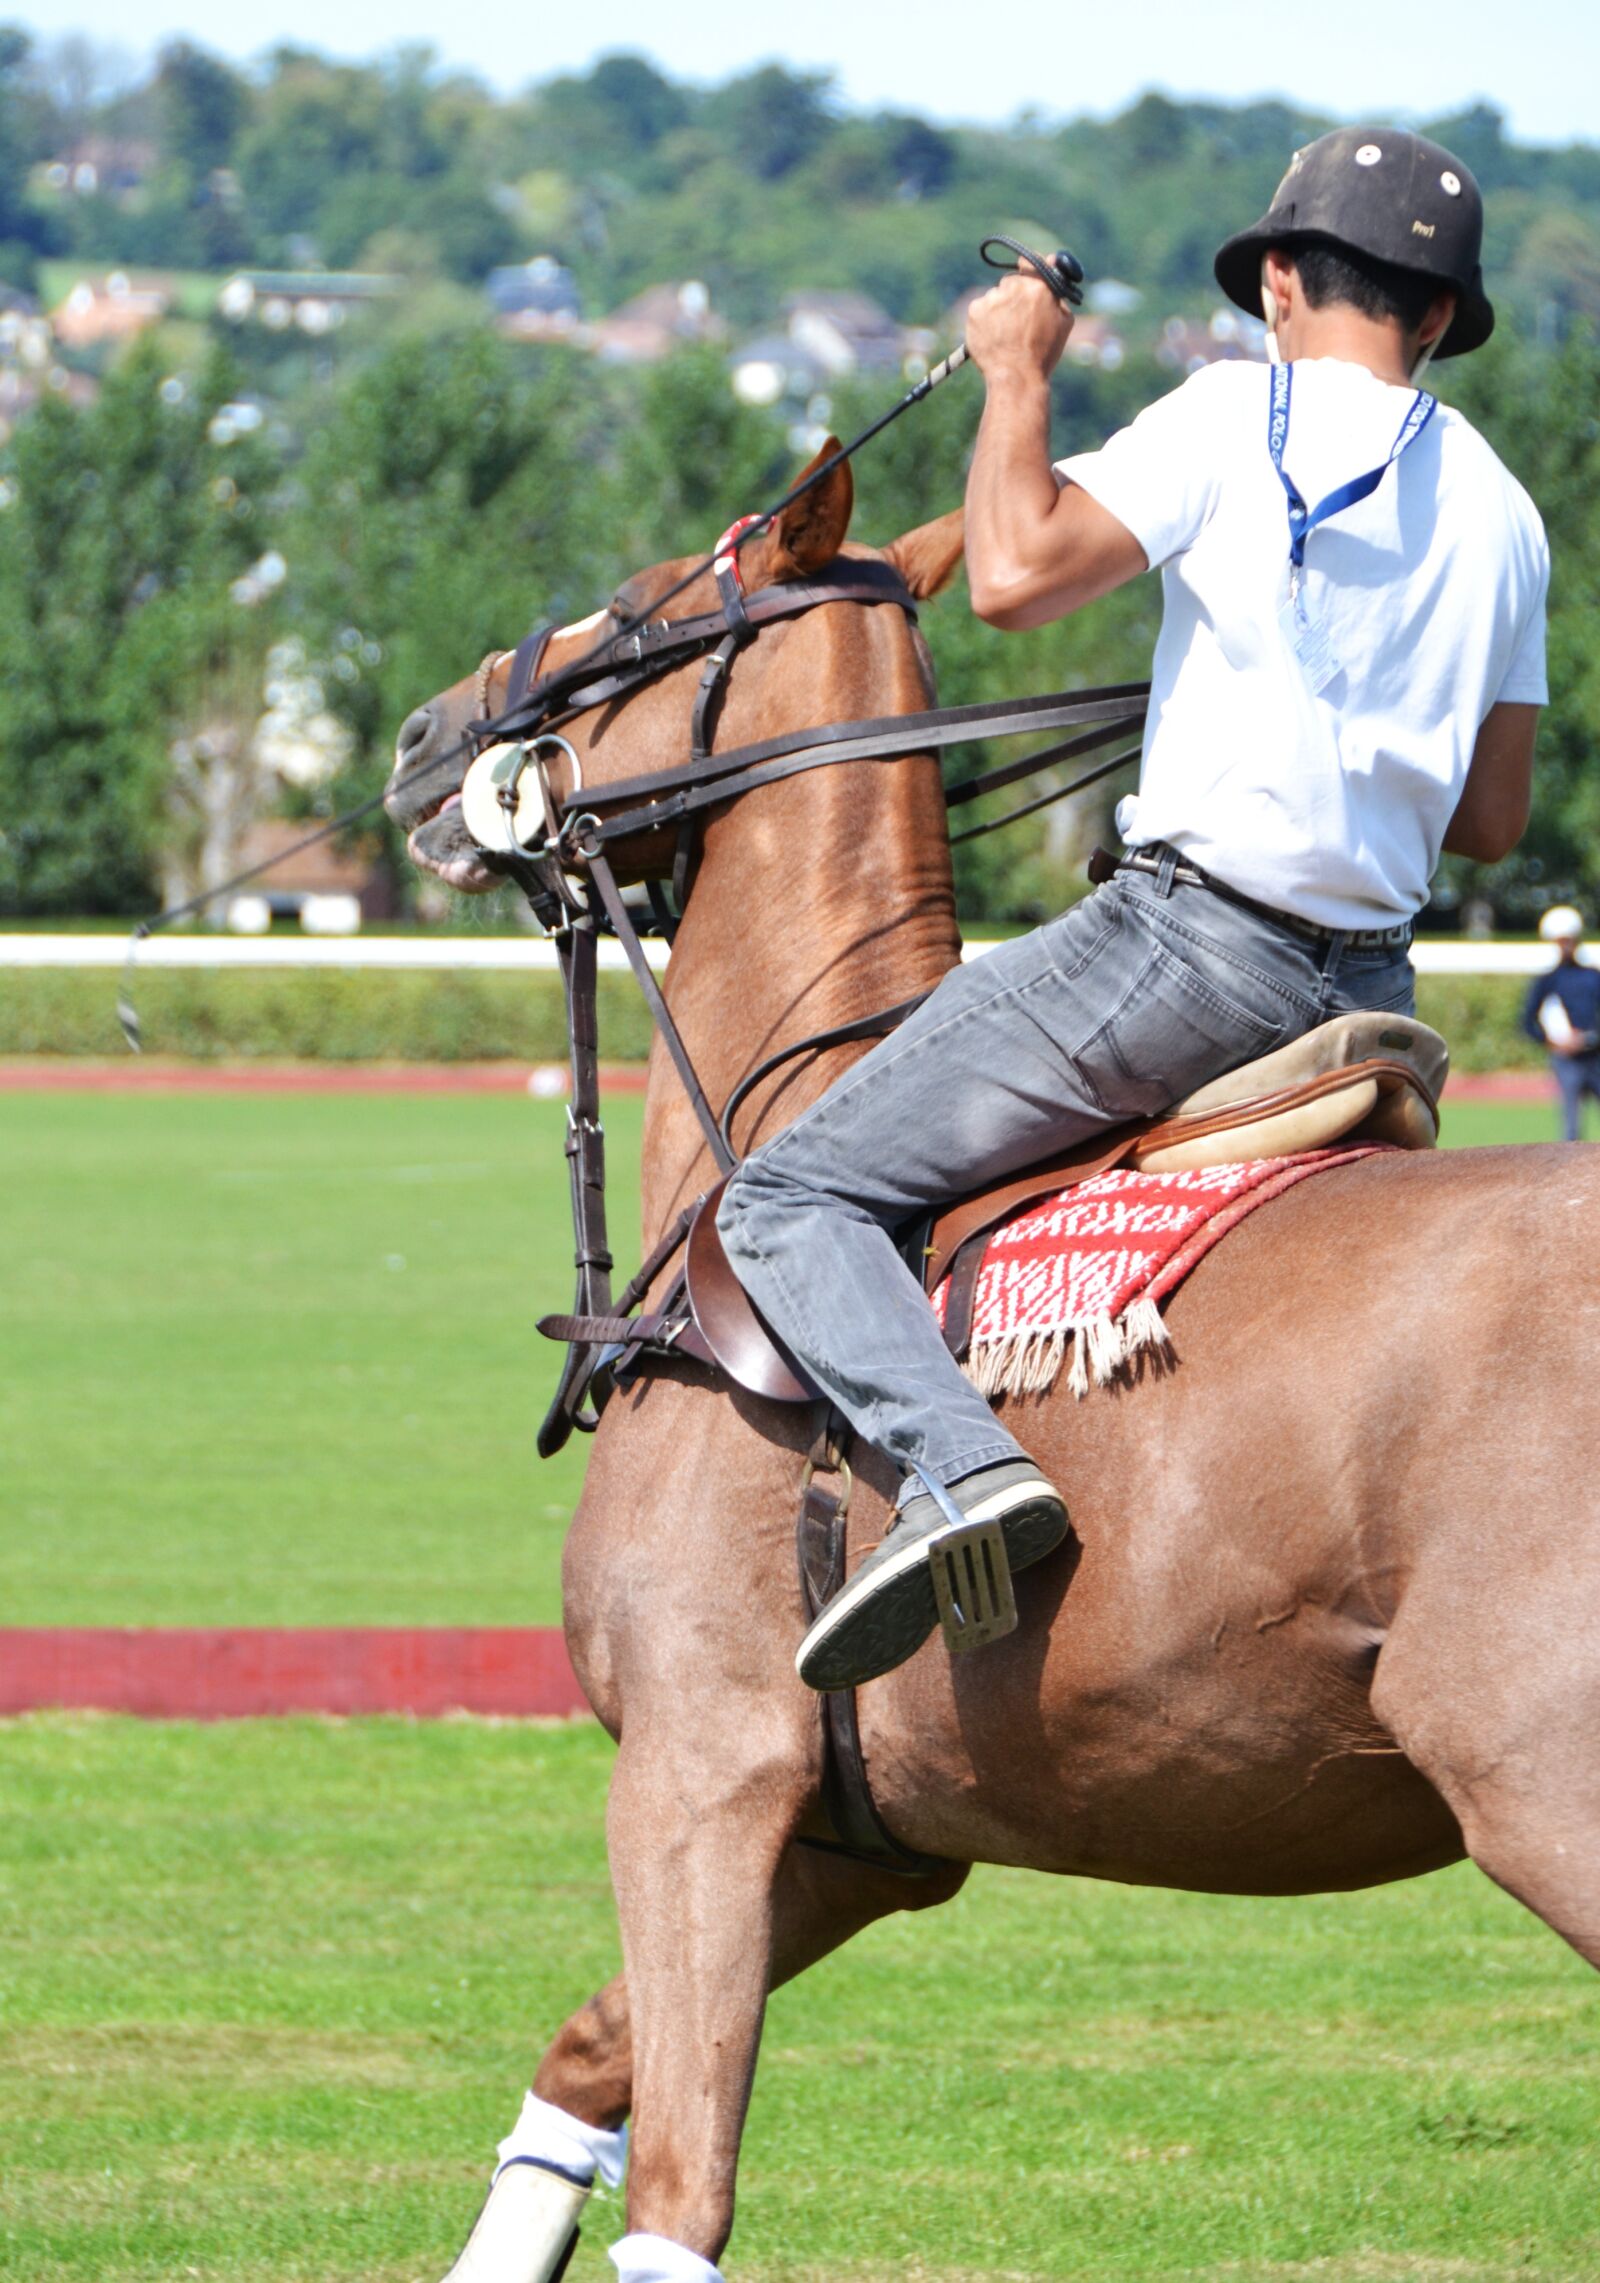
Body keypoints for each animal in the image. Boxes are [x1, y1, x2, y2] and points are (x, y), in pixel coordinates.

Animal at [385, 443, 1600, 2277]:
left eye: (644, 604)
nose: (423, 736)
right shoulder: (853, 1834)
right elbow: (590, 2061)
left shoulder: (696, 1773)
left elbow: (676, 2186)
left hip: (1545, 1779)